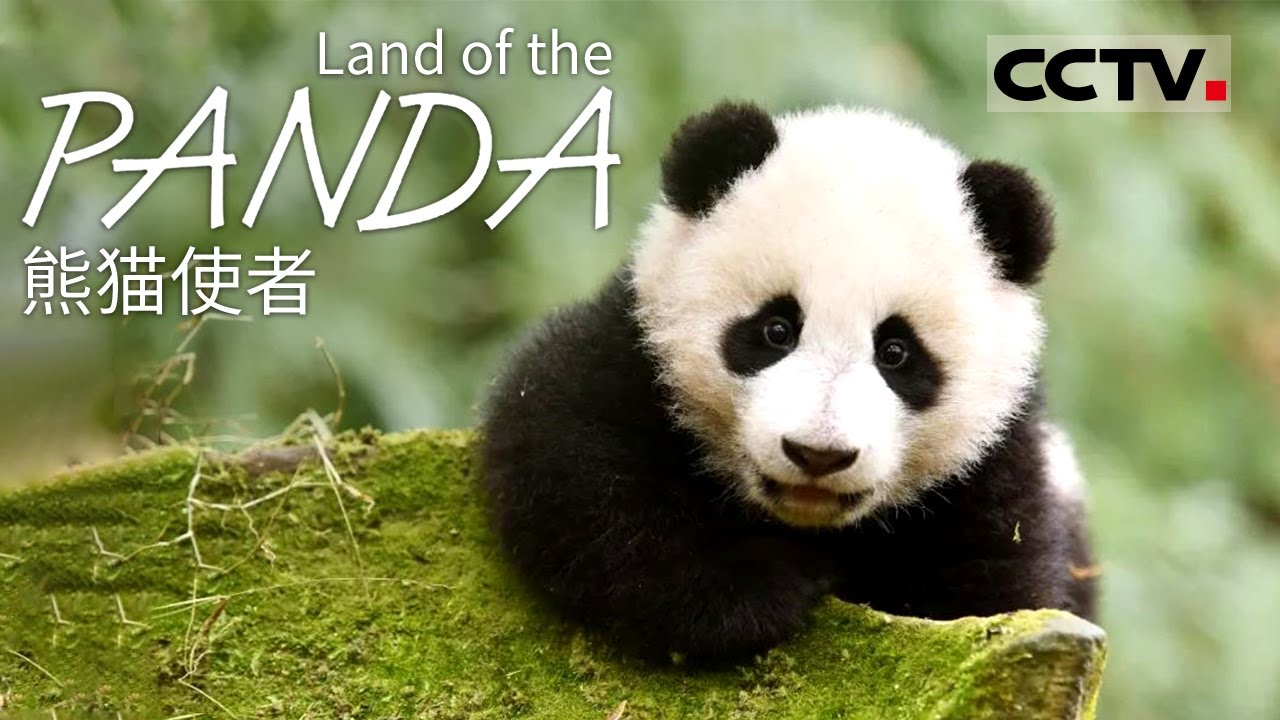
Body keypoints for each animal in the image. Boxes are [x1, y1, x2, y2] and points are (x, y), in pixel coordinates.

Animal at [481, 102, 1097, 662]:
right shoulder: (633, 354)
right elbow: (576, 467)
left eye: (896, 352)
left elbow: (993, 583)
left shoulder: (999, 471)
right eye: (776, 329)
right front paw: (765, 586)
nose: (818, 454)